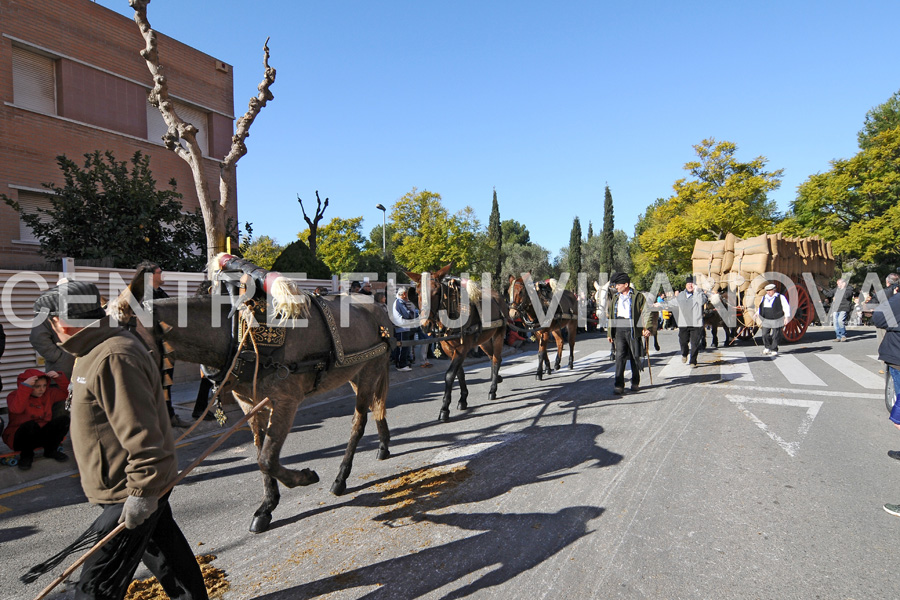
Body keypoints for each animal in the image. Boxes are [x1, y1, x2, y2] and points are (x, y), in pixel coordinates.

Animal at [110, 258, 392, 536]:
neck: (236, 334)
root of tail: (379, 310)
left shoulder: (286, 402)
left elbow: (267, 458)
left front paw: (304, 477)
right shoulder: (250, 404)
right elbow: (260, 454)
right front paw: (267, 505)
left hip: (370, 372)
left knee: (359, 422)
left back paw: (341, 477)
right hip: (355, 375)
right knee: (376, 407)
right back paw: (383, 445)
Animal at [406, 264, 506, 424]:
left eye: (436, 292)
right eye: (417, 293)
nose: (425, 325)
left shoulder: (462, 348)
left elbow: (450, 374)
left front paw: (444, 409)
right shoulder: (449, 349)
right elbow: (459, 373)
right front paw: (463, 399)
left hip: (498, 335)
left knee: (496, 359)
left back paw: (492, 389)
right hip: (483, 341)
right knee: (493, 357)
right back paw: (497, 378)